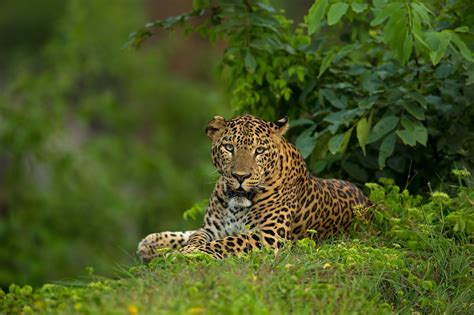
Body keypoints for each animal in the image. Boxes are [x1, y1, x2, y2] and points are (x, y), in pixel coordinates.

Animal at [137, 115, 370, 260]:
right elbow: (197, 237)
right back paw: (150, 243)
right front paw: (185, 250)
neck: (235, 203)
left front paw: (186, 254)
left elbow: (226, 242)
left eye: (259, 151)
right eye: (229, 147)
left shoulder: (269, 235)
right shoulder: (211, 229)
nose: (240, 176)